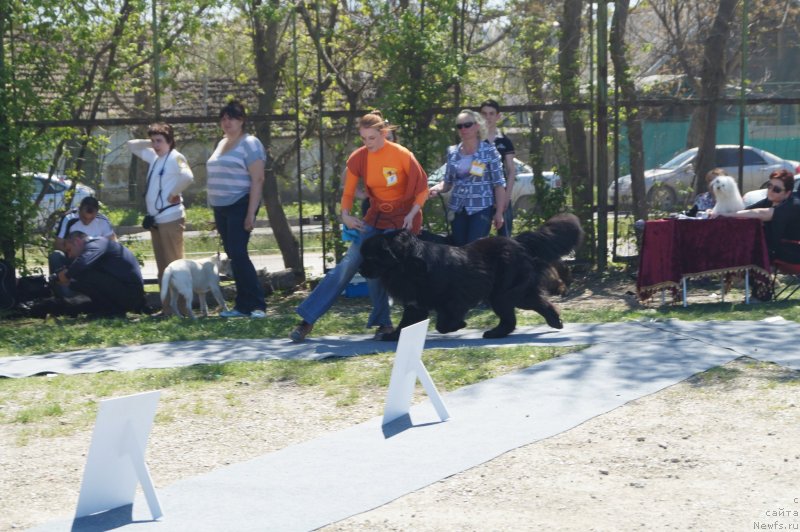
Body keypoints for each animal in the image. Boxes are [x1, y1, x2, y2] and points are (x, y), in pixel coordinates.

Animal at [360, 213, 580, 340]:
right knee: (537, 305)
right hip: (515, 293)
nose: (361, 270)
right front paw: (394, 336)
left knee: (512, 316)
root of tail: (518, 242)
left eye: (369, 257)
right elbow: (406, 323)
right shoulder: (416, 304)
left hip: (503, 293)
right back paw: (554, 321)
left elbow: (443, 323)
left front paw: (459, 325)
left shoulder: (453, 300)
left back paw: (495, 333)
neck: (406, 264)